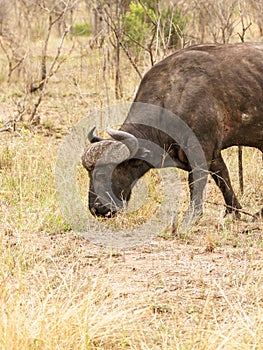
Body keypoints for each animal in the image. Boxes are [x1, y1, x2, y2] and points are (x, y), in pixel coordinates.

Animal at [82, 43, 263, 224]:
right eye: (89, 174)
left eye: (103, 173)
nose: (96, 208)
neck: (171, 98)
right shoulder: (213, 154)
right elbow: (222, 178)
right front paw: (233, 211)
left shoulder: (200, 149)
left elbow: (196, 181)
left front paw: (192, 216)